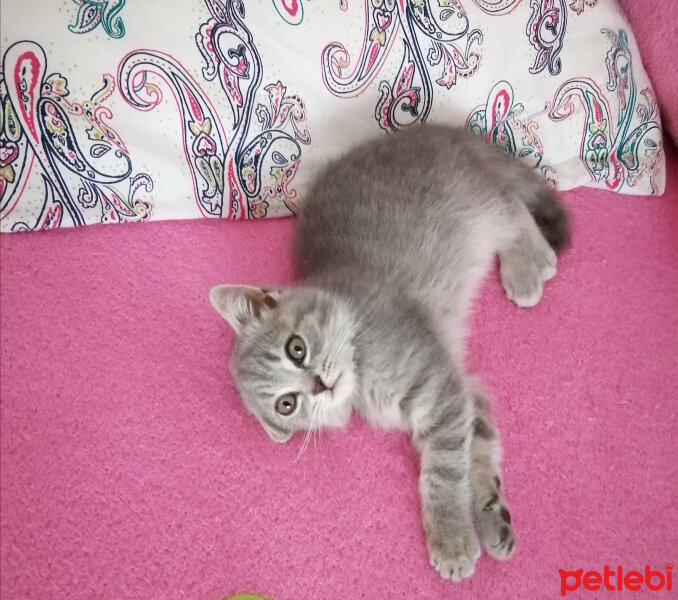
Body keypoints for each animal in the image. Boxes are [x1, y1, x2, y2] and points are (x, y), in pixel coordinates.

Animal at [210, 125, 572, 580]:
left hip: (474, 203)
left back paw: (528, 263)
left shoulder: (440, 390)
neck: (361, 373)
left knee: (511, 204)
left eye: (296, 349)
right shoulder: (461, 389)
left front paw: (451, 537)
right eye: (287, 404)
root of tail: (435, 131)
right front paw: (491, 514)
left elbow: (443, 469)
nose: (320, 384)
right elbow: (478, 447)